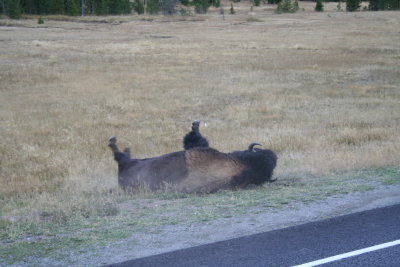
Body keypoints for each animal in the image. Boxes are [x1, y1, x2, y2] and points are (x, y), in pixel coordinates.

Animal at [109, 122, 278, 194]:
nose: (273, 154)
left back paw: (114, 143)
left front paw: (195, 126)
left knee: (120, 157)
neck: (246, 166)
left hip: (127, 164)